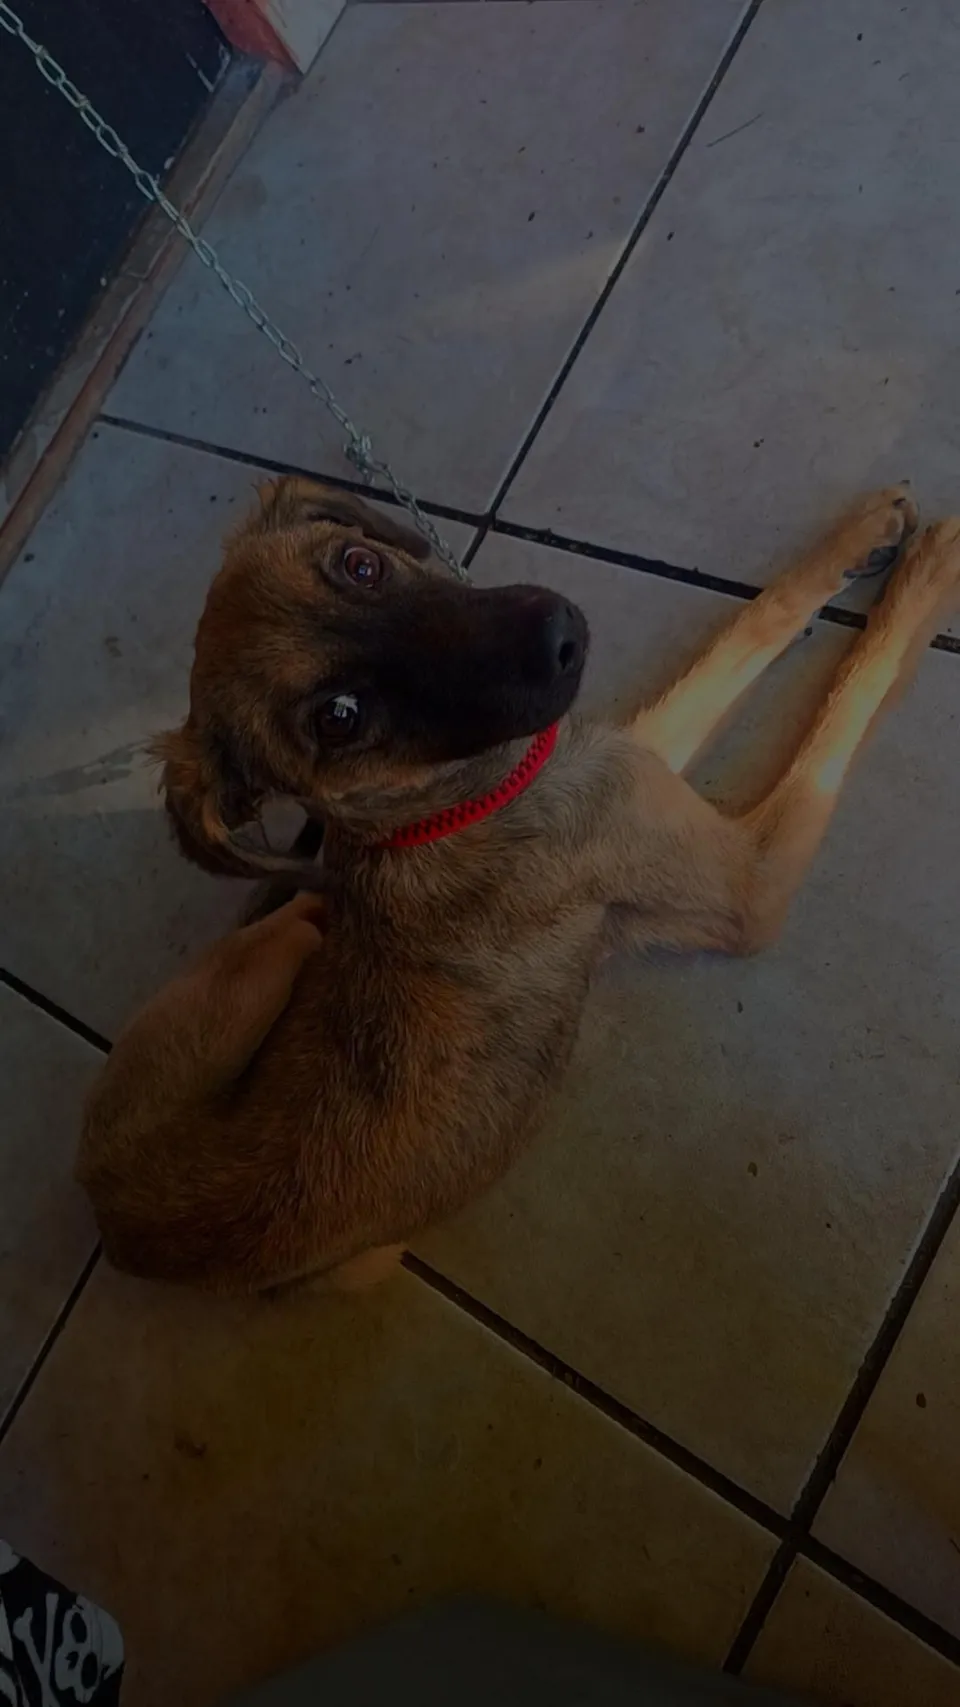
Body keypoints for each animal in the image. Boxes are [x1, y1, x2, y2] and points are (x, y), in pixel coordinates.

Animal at [77, 477, 958, 1293]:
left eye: (361, 563)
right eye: (338, 716)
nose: (561, 634)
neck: (443, 806)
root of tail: (117, 1231)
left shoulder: (612, 760)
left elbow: (752, 629)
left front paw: (864, 538)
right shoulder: (751, 881)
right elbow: (845, 711)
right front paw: (927, 579)